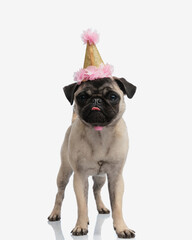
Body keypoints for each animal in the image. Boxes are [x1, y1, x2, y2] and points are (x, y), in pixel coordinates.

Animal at [48, 77, 136, 238]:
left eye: (113, 96)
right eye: (82, 97)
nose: (96, 100)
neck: (100, 133)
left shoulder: (116, 177)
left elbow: (117, 206)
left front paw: (121, 228)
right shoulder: (80, 177)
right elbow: (82, 205)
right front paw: (80, 226)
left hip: (101, 177)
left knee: (96, 190)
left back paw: (101, 207)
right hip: (64, 173)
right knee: (60, 193)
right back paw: (55, 213)